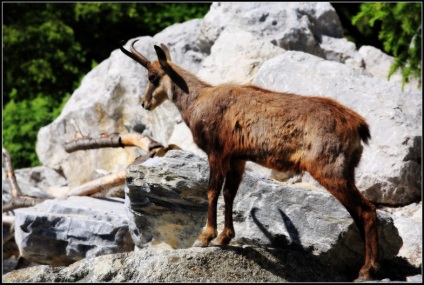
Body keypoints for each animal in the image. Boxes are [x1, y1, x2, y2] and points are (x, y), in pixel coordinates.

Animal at [121, 40, 380, 280]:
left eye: (152, 76)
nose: (145, 103)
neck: (197, 102)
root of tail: (357, 125)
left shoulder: (217, 152)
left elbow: (212, 190)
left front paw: (205, 237)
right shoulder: (237, 158)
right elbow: (229, 193)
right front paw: (224, 237)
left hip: (329, 168)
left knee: (366, 209)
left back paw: (366, 271)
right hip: (346, 170)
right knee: (358, 213)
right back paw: (369, 267)